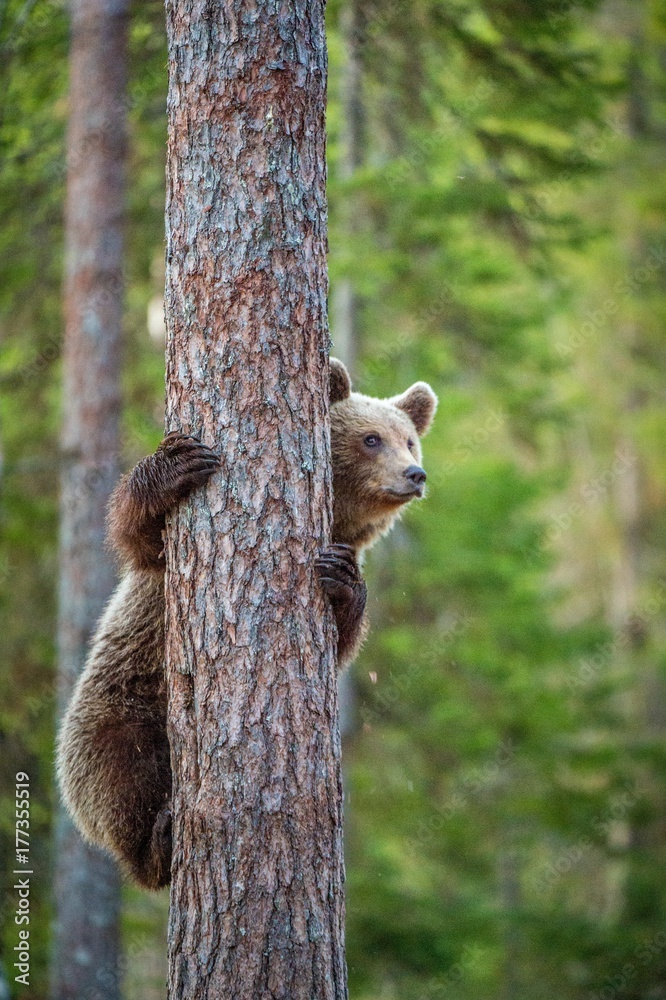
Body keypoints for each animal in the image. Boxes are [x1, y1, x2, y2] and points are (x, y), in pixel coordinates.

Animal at [56, 358, 437, 890]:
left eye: (410, 440)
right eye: (371, 439)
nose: (414, 474)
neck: (337, 517)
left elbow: (341, 636)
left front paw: (343, 581)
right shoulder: (157, 574)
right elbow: (138, 535)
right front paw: (176, 467)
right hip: (117, 708)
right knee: (122, 774)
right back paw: (157, 843)